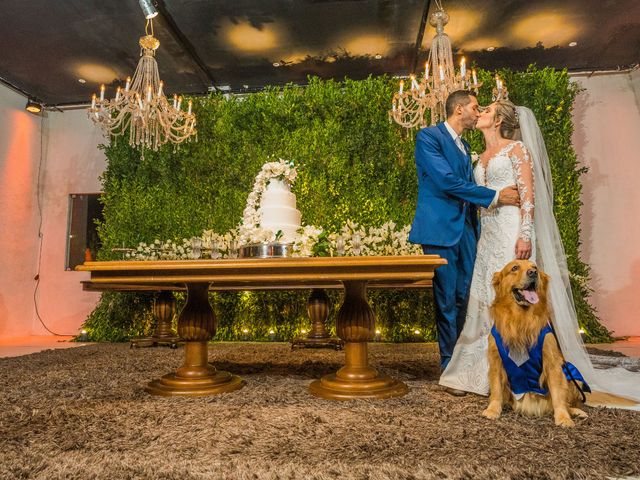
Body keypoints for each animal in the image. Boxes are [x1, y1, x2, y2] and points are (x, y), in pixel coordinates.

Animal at [482, 258, 588, 428]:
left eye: (535, 267)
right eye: (515, 268)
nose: (533, 273)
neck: (521, 319)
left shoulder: (553, 362)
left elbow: (558, 394)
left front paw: (563, 417)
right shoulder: (496, 359)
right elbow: (497, 388)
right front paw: (493, 409)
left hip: (573, 375)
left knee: (567, 401)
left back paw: (576, 411)